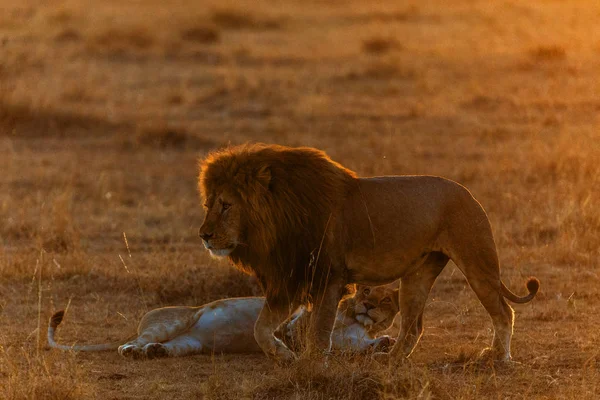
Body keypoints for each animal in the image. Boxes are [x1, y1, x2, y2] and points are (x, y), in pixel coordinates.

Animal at [197, 145, 540, 364]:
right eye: (208, 204)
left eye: (226, 205)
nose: (204, 236)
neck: (279, 220)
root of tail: (469, 194)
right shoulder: (292, 278)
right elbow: (261, 328)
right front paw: (284, 355)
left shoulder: (328, 277)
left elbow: (320, 332)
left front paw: (314, 366)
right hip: (417, 275)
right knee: (413, 325)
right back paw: (390, 359)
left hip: (478, 263)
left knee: (503, 312)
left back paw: (499, 358)